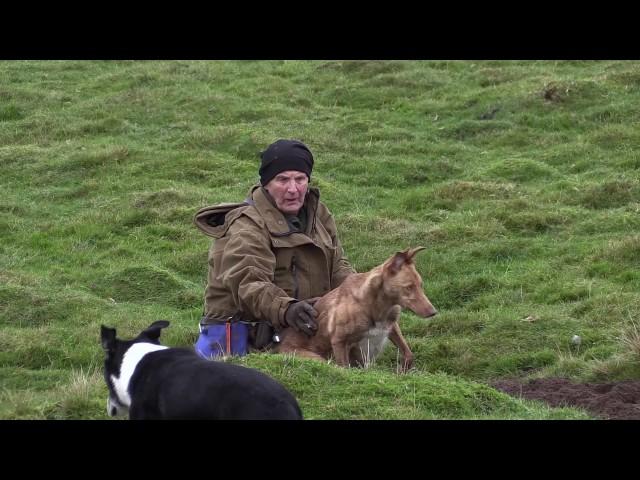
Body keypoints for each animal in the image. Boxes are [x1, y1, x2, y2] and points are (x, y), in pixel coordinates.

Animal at [272, 246, 438, 374]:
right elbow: (344, 368)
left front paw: (403, 370)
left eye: (421, 285)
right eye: (409, 287)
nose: (433, 312)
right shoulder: (339, 342)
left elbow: (408, 353)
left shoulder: (392, 327)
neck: (376, 305)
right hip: (317, 359)